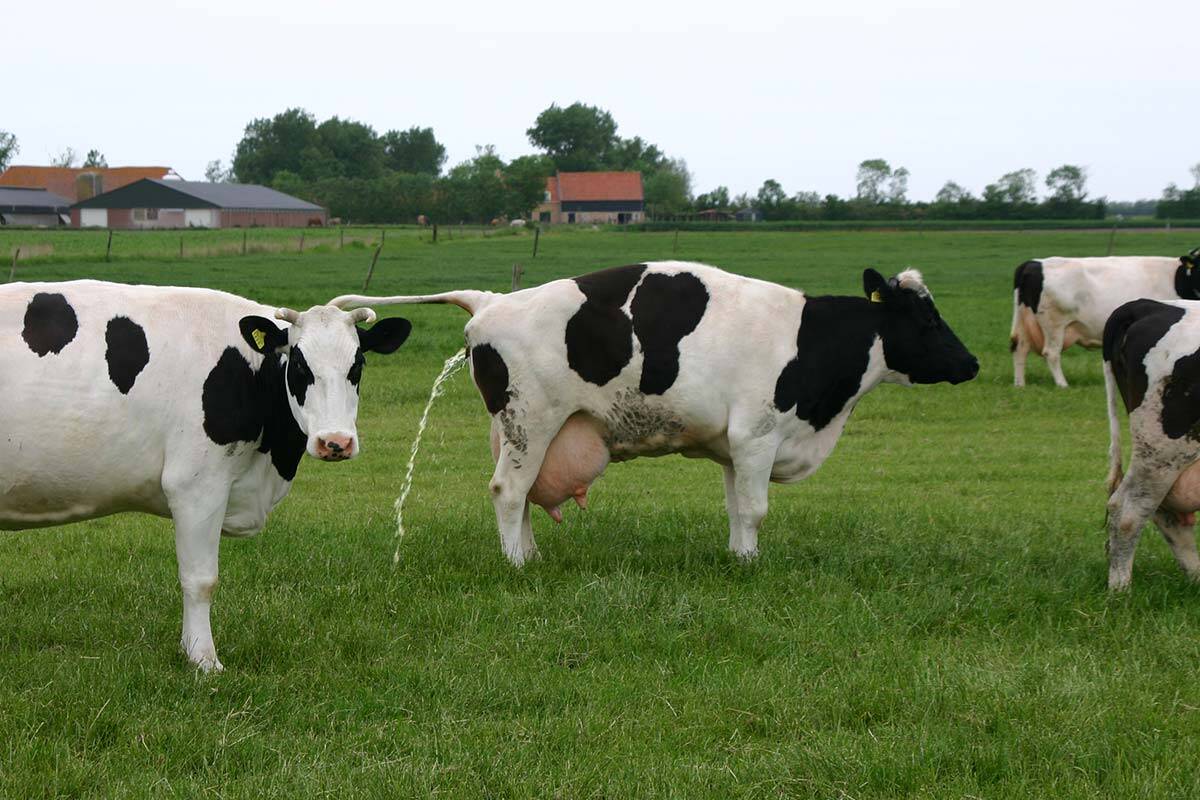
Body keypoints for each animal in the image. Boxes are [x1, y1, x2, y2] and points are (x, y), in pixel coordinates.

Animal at [0, 281, 412, 671]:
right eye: (298, 365)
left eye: (357, 366)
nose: (335, 442)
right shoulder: (197, 484)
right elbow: (201, 579)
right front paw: (202, 659)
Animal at [333, 260, 979, 566]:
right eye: (925, 319)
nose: (971, 362)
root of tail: (496, 300)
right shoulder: (759, 434)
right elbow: (758, 508)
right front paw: (752, 563)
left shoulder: (733, 447)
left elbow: (736, 508)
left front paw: (737, 558)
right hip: (531, 420)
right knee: (508, 492)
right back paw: (517, 564)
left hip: (519, 429)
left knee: (520, 495)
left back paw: (532, 554)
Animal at [1012, 250, 1200, 388]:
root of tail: (1034, 263)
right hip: (1054, 324)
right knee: (1051, 353)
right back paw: (1062, 384)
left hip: (1023, 321)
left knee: (1019, 348)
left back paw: (1020, 384)